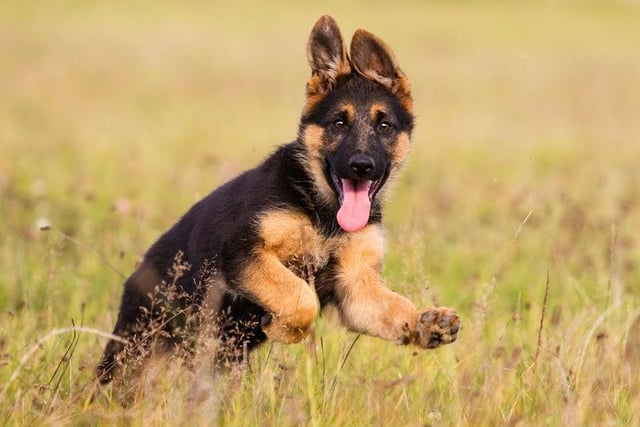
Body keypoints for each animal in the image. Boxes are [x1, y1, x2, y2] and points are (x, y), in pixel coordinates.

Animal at [97, 15, 460, 384]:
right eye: (338, 122)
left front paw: (425, 323)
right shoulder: (242, 252)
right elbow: (301, 298)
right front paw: (282, 329)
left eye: (384, 125)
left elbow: (394, 307)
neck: (323, 212)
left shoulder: (356, 287)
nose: (361, 165)